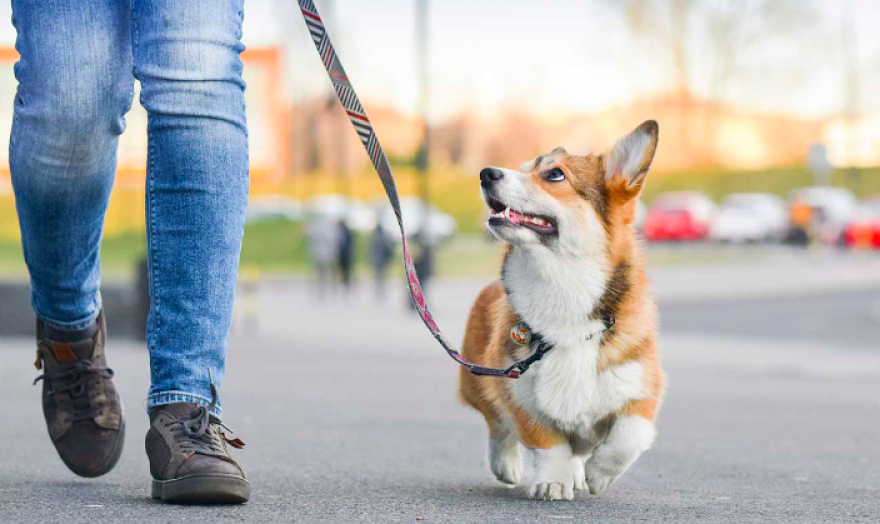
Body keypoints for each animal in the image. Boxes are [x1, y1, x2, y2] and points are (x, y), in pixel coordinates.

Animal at [460, 121, 660, 502]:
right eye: (522, 168)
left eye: (554, 174)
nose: (486, 173)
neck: (562, 286)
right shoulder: (518, 392)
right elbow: (549, 444)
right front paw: (552, 481)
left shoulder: (642, 390)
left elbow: (628, 437)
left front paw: (599, 474)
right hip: (478, 381)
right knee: (497, 426)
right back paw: (506, 465)